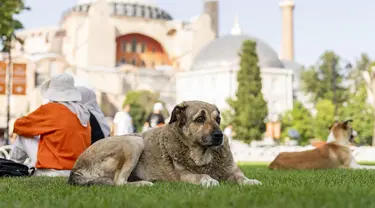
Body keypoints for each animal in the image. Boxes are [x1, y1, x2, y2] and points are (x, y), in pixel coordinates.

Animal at [68, 101, 262, 187]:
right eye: (200, 119)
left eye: (218, 119)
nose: (219, 135)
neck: (204, 157)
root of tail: (76, 169)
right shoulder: (185, 175)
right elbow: (200, 176)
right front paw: (207, 179)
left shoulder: (232, 171)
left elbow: (241, 177)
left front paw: (250, 181)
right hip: (134, 140)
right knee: (119, 182)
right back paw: (143, 184)